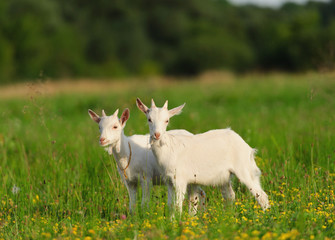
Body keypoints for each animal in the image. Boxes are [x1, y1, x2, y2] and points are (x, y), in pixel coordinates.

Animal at [136, 98, 270, 213]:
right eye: (149, 119)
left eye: (167, 120)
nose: (157, 135)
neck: (169, 148)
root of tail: (247, 147)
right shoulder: (169, 180)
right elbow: (171, 205)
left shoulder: (180, 180)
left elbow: (177, 205)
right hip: (224, 177)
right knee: (230, 195)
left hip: (244, 169)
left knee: (261, 195)